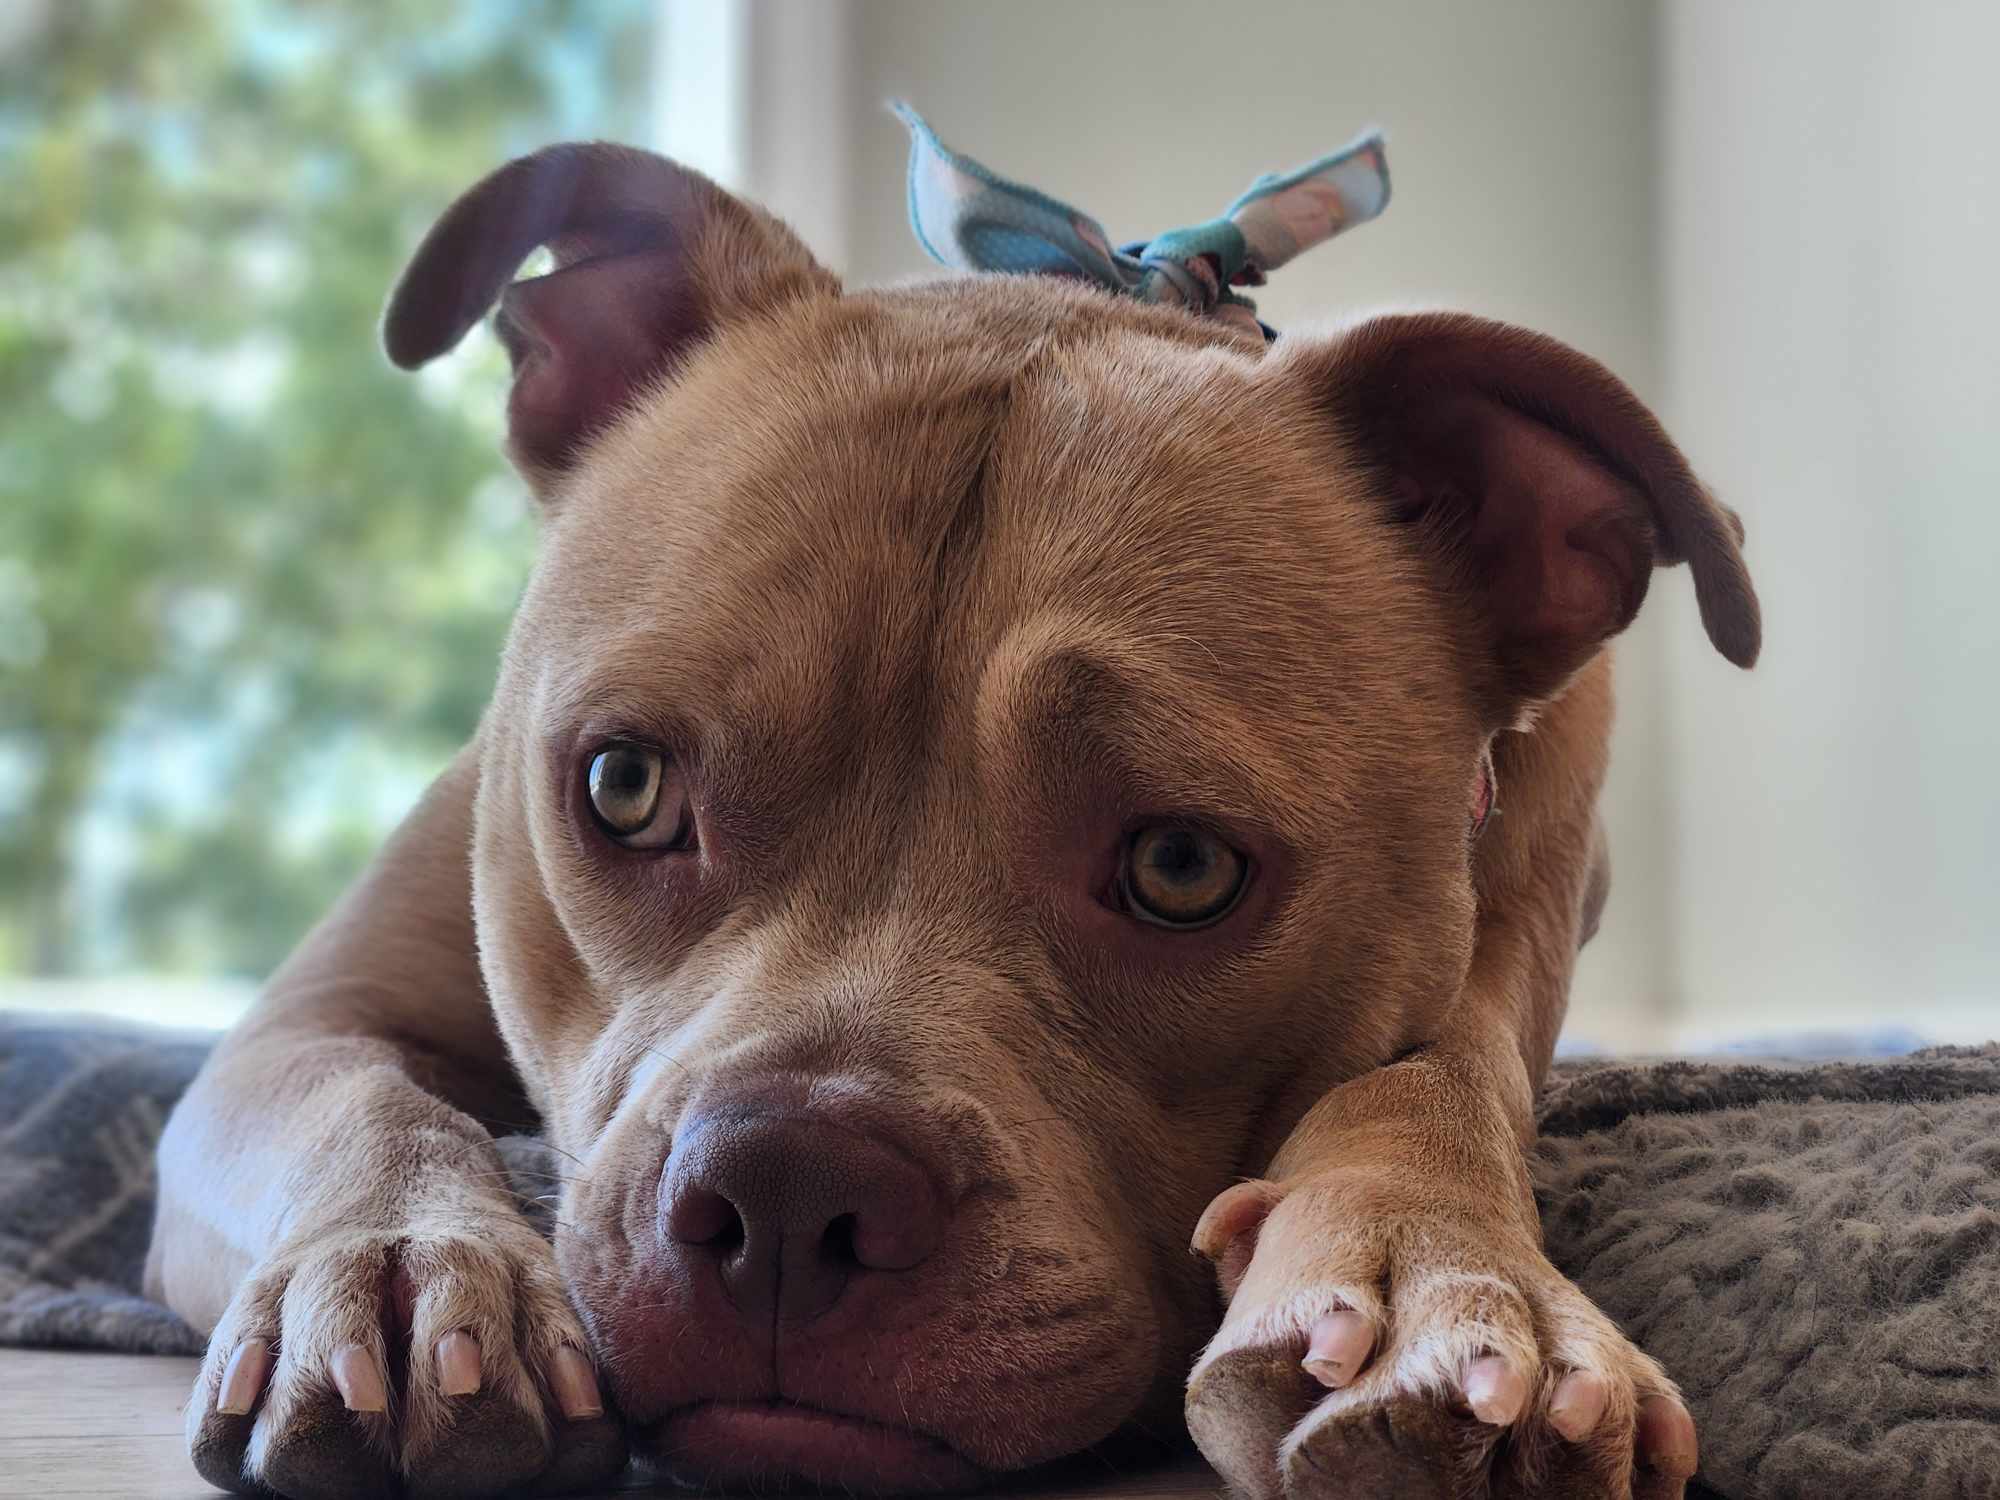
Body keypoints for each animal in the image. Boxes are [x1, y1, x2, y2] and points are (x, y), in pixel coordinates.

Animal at [148, 141, 1760, 1500]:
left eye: (1182, 867)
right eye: (625, 788)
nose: (788, 1188)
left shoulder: (1509, 921)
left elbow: (1433, 1080)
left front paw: (1444, 1277)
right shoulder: (314, 1014)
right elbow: (356, 1099)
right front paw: (406, 1269)